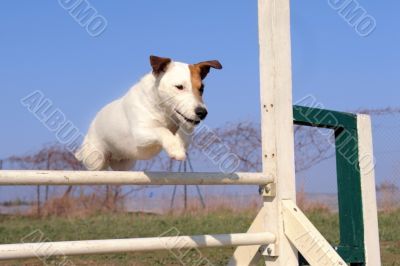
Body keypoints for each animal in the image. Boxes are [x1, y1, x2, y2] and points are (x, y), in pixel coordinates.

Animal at [74, 55, 222, 170]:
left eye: (201, 88)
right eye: (179, 87)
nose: (202, 112)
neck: (164, 111)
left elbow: (184, 134)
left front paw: (179, 142)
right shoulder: (140, 132)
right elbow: (162, 130)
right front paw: (176, 150)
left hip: (124, 165)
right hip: (95, 158)